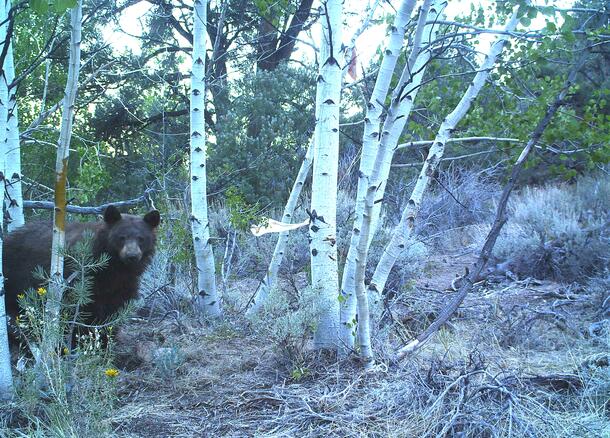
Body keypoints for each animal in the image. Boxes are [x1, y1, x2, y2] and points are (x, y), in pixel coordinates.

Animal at [2, 205, 159, 326]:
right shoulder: (78, 279)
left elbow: (116, 308)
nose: (132, 256)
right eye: (122, 237)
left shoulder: (124, 283)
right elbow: (79, 311)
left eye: (141, 238)